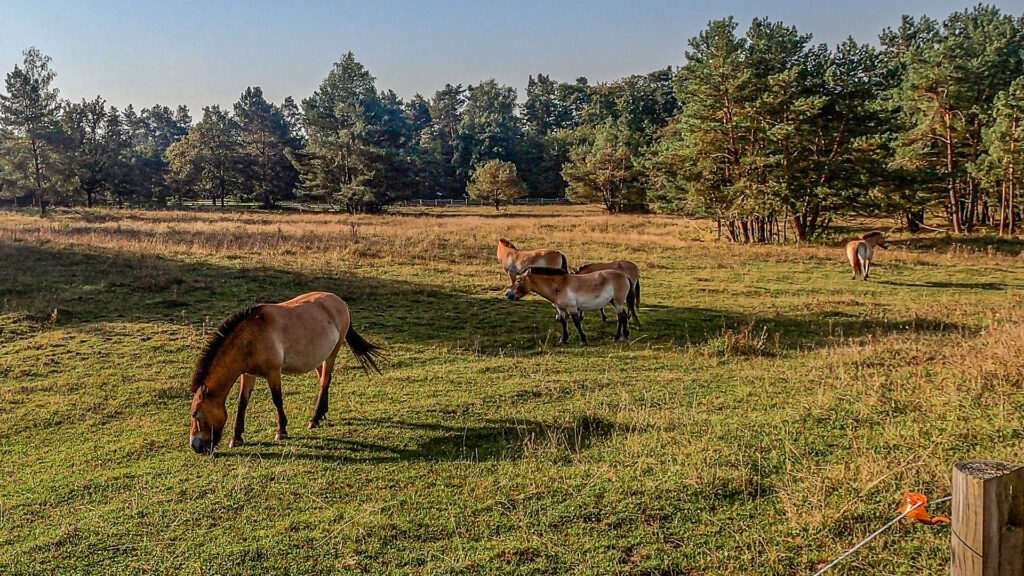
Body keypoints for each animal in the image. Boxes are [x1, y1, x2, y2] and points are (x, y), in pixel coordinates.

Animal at [188, 292, 383, 455]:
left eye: (195, 414)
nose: (195, 447)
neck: (252, 337)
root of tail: (340, 302)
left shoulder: (273, 373)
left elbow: (277, 399)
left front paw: (281, 431)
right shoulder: (248, 374)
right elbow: (242, 403)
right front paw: (237, 438)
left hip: (332, 354)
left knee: (325, 381)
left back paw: (314, 419)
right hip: (320, 357)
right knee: (324, 380)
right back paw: (321, 415)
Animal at [505, 267, 635, 345]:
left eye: (518, 281)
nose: (508, 294)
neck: (558, 285)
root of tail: (624, 276)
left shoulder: (572, 308)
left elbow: (577, 323)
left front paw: (583, 340)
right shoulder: (561, 309)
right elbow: (563, 322)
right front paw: (563, 339)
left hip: (617, 302)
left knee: (620, 317)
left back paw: (617, 337)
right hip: (614, 302)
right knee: (623, 316)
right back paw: (625, 335)